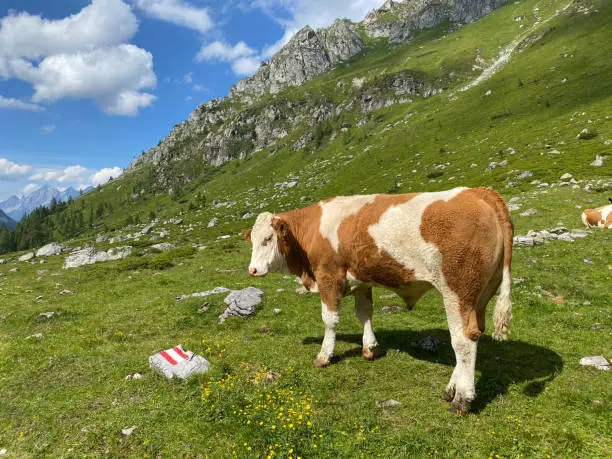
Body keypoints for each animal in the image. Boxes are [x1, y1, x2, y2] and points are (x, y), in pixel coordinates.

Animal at [246, 185, 512, 416]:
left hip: (458, 290)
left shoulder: (328, 276)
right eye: (252, 240)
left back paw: (461, 399)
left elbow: (330, 320)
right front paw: (370, 348)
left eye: (268, 238)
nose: (253, 270)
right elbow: (364, 313)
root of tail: (478, 192)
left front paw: (324, 355)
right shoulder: (361, 281)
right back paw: (451, 390)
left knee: (463, 340)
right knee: (475, 334)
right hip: (481, 294)